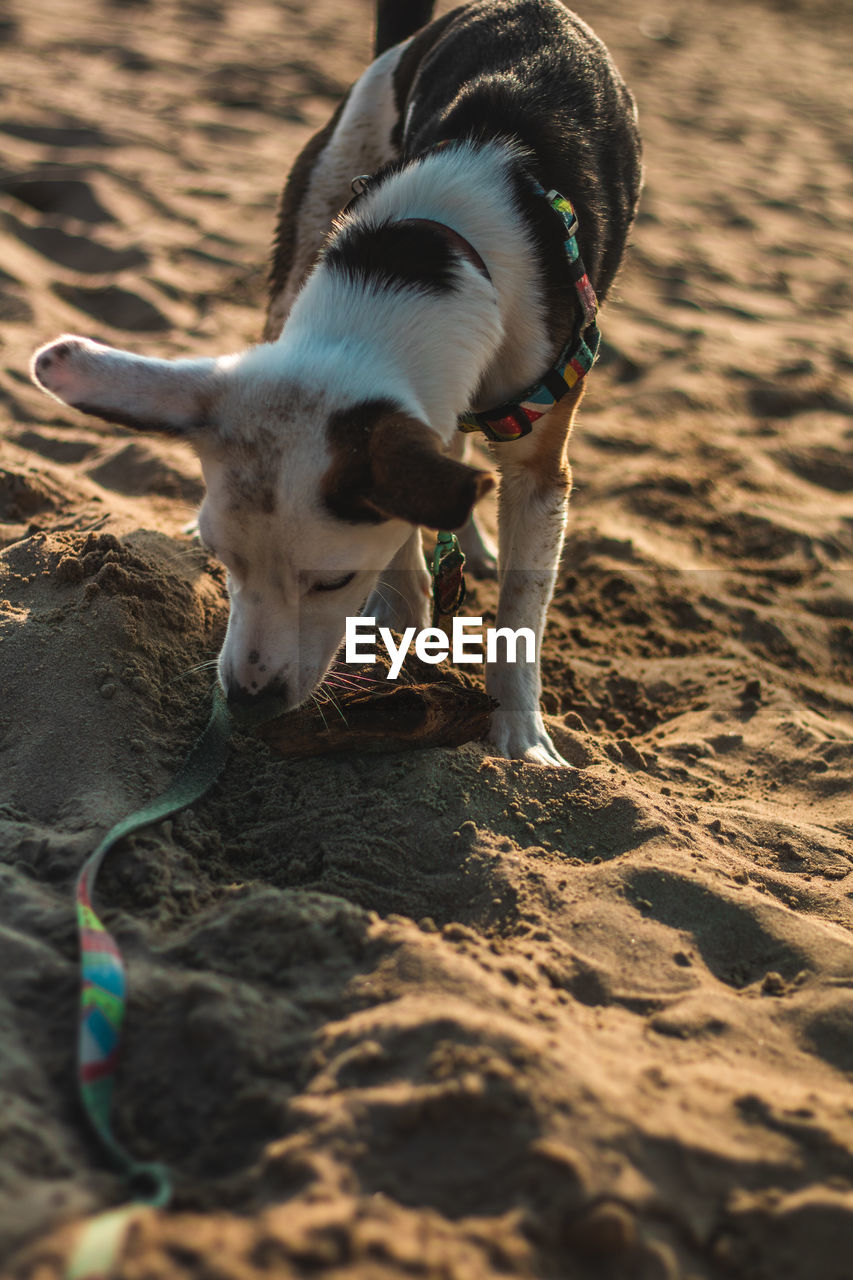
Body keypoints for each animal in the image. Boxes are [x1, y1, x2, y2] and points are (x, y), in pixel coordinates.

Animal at [31, 0, 637, 757]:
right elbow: (409, 542)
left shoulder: (537, 463)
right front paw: (401, 629)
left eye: (332, 581)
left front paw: (518, 734)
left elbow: (521, 610)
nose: (248, 701)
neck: (425, 250)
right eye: (221, 561)